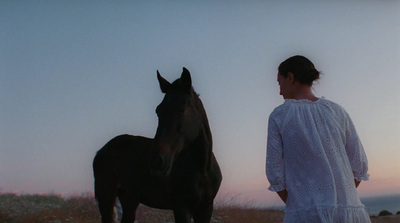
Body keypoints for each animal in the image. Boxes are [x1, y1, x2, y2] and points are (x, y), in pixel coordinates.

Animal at [93, 68, 222, 223]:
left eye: (182, 109)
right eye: (158, 110)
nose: (156, 161)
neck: (202, 169)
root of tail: (101, 151)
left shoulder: (206, 209)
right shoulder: (181, 208)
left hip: (129, 199)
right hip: (106, 196)